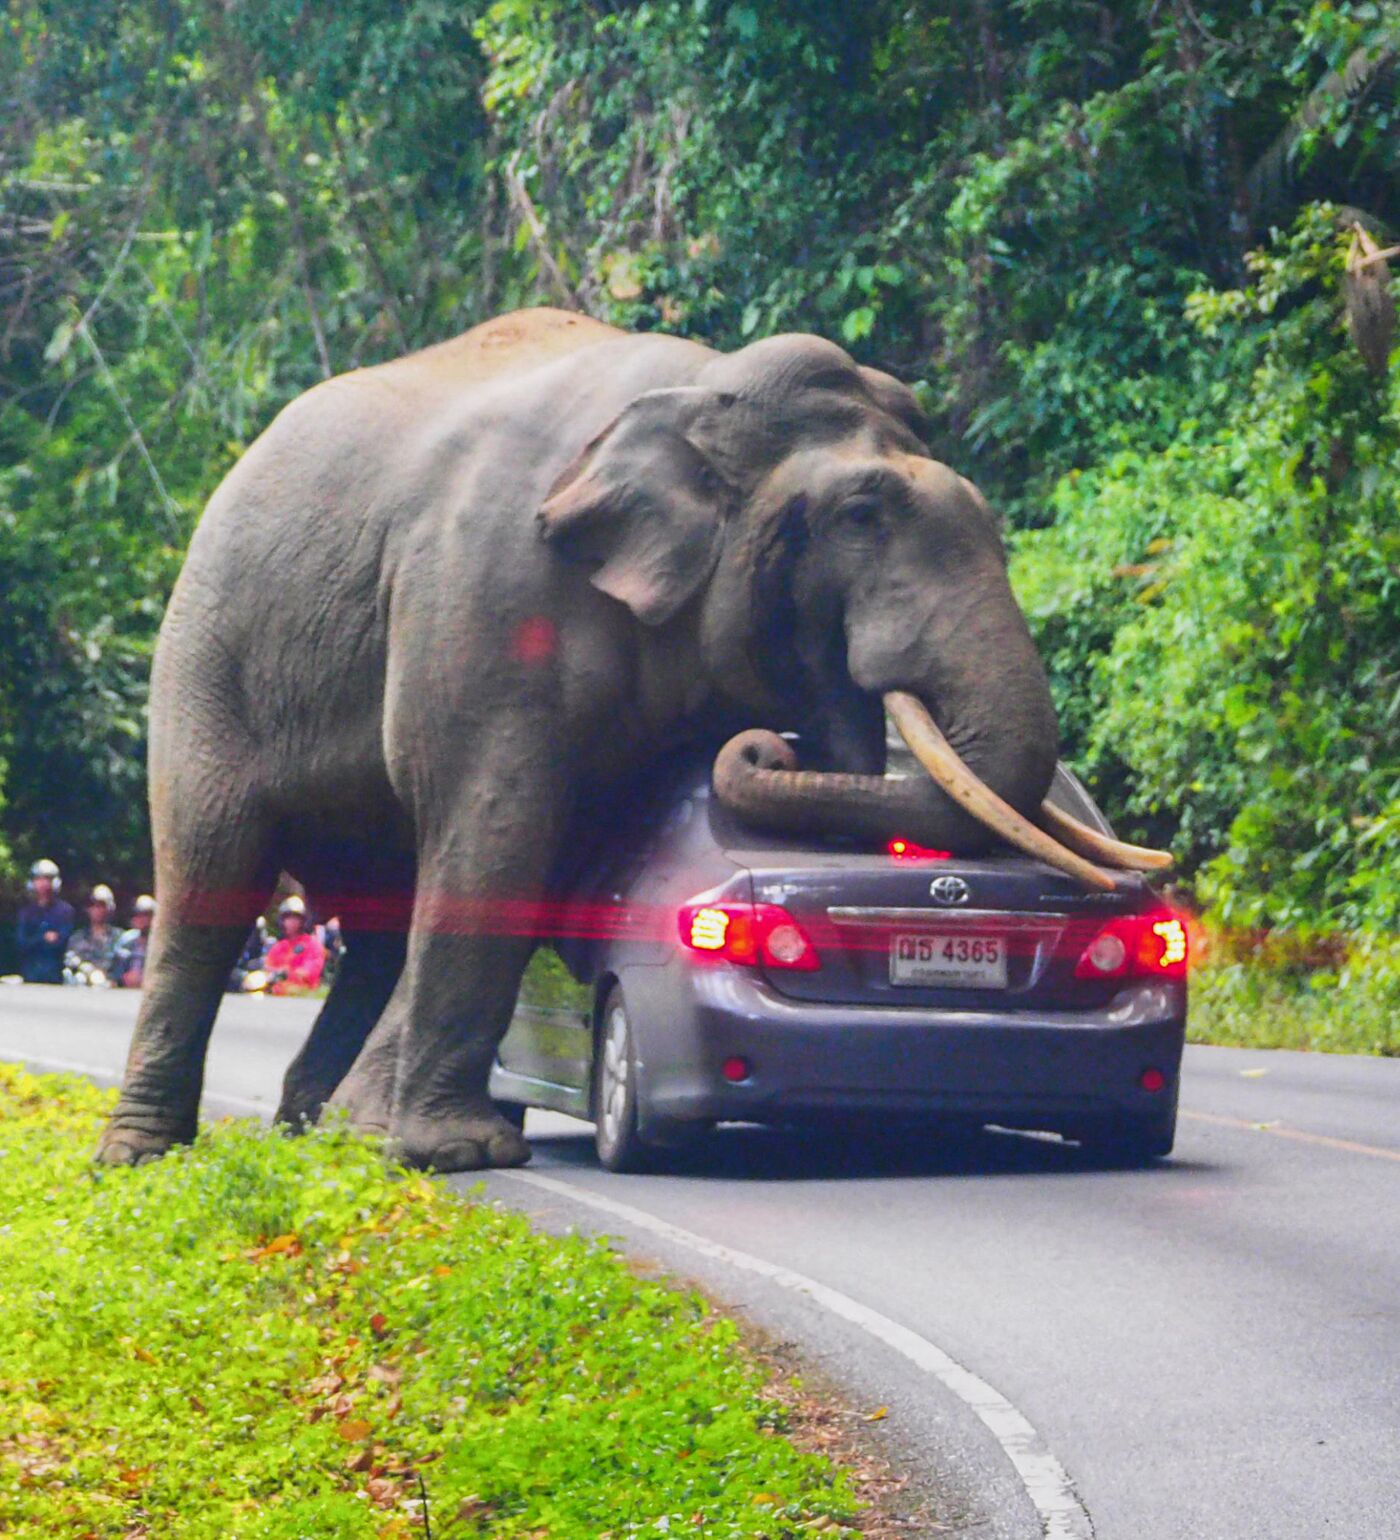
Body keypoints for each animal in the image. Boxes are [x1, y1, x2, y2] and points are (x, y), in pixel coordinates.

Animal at [98, 309, 1164, 1176]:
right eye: (862, 516)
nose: (770, 744)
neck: (702, 389)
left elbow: (541, 852)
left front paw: (396, 1141)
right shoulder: (486, 591)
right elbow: (501, 827)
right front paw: (456, 1156)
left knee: (374, 919)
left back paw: (313, 1131)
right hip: (206, 655)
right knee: (213, 871)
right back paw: (144, 1158)